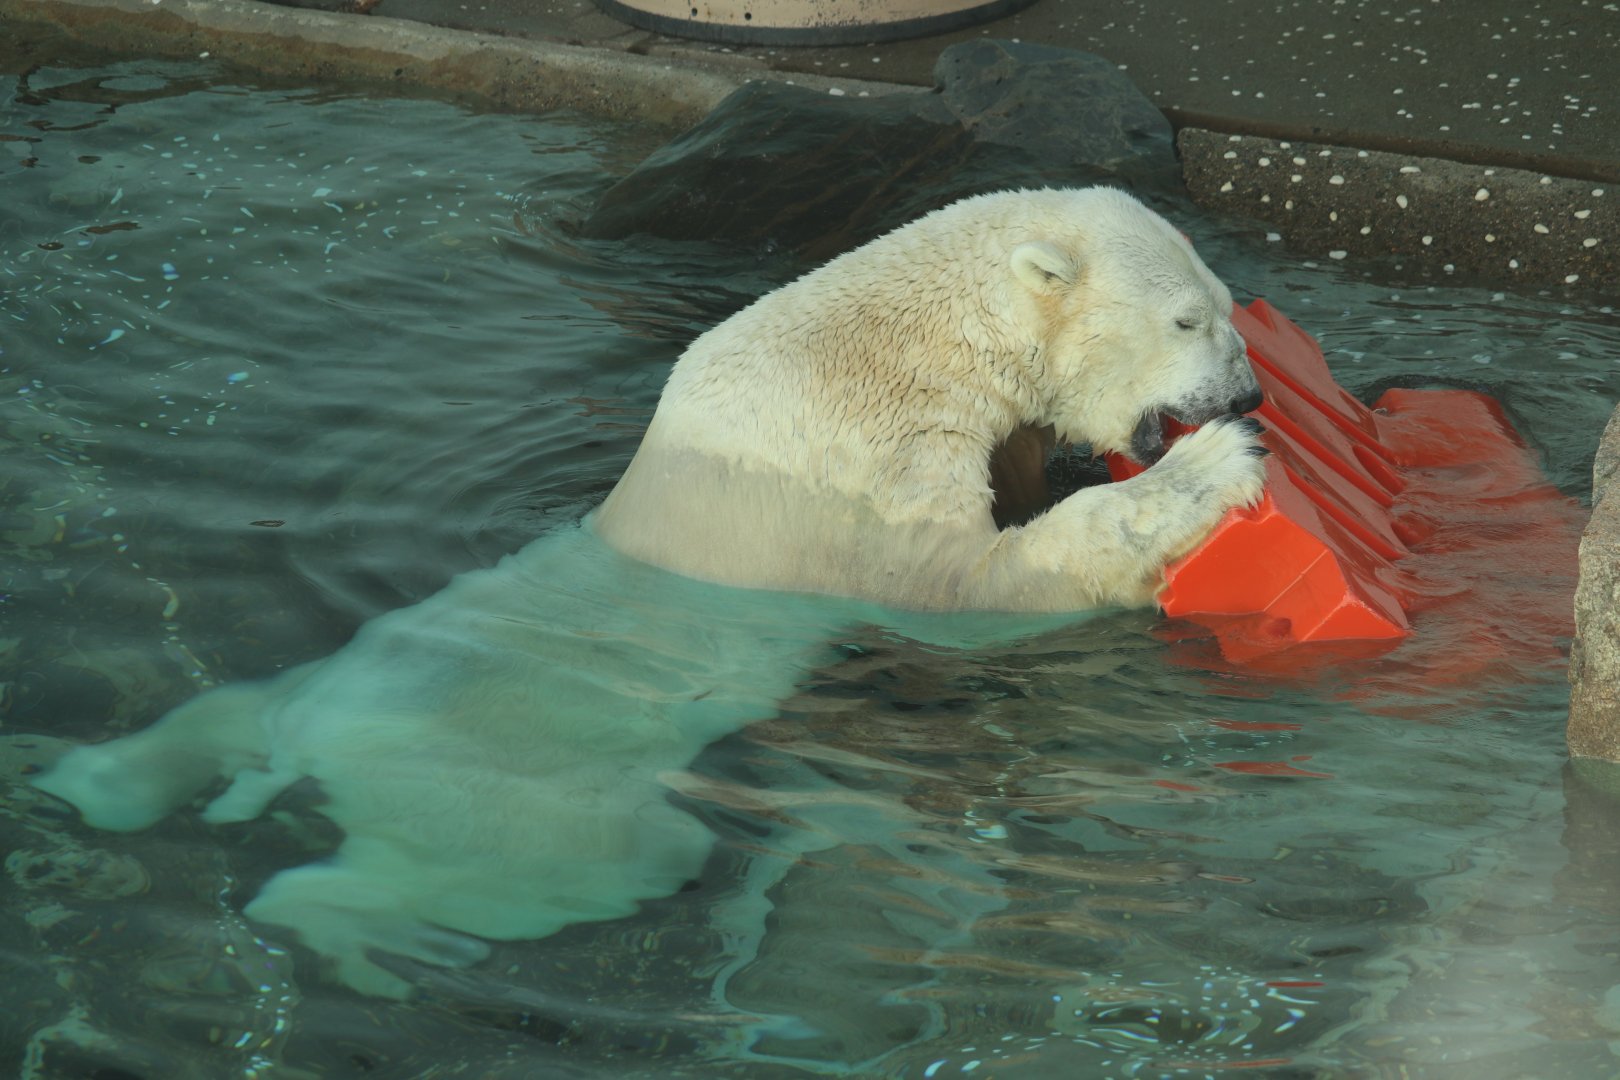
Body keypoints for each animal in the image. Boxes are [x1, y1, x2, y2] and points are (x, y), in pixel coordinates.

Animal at [33, 186, 1265, 998]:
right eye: (1189, 318)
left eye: (1223, 303)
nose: (1249, 392)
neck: (904, 340)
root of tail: (314, 749)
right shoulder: (859, 464)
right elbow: (961, 586)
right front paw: (1216, 473)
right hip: (519, 797)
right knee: (566, 864)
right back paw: (351, 936)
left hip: (333, 679)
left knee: (219, 715)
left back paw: (98, 780)